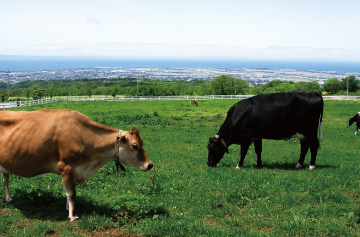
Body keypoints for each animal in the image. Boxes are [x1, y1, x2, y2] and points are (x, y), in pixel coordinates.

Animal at [0, 110, 153, 221]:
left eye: (142, 143)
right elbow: (71, 193)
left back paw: (8, 198)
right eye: (135, 146)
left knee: (5, 179)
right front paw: (73, 216)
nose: (150, 164)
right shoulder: (65, 167)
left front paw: (68, 208)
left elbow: (70, 192)